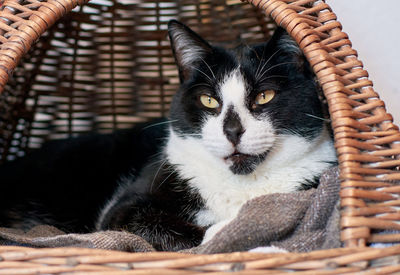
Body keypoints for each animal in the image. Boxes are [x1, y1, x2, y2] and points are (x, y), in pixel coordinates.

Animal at [0, 20, 338, 252]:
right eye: (209, 100)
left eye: (265, 96)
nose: (232, 130)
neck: (242, 184)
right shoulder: (124, 206)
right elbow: (148, 223)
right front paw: (229, 230)